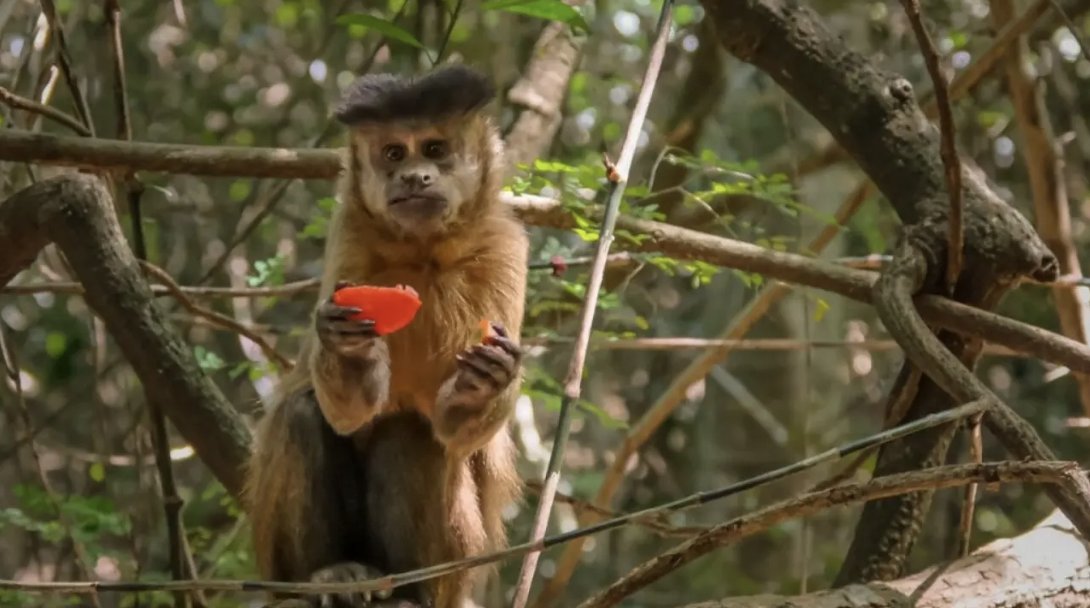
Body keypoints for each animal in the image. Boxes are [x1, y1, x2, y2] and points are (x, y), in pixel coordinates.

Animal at [243, 64, 528, 608]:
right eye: (395, 153)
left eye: (434, 149)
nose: (414, 176)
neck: (423, 254)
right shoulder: (349, 234)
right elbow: (347, 410)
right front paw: (350, 348)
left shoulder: (504, 246)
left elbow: (456, 427)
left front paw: (484, 382)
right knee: (303, 414)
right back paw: (331, 575)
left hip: (456, 564)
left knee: (413, 432)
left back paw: (408, 588)